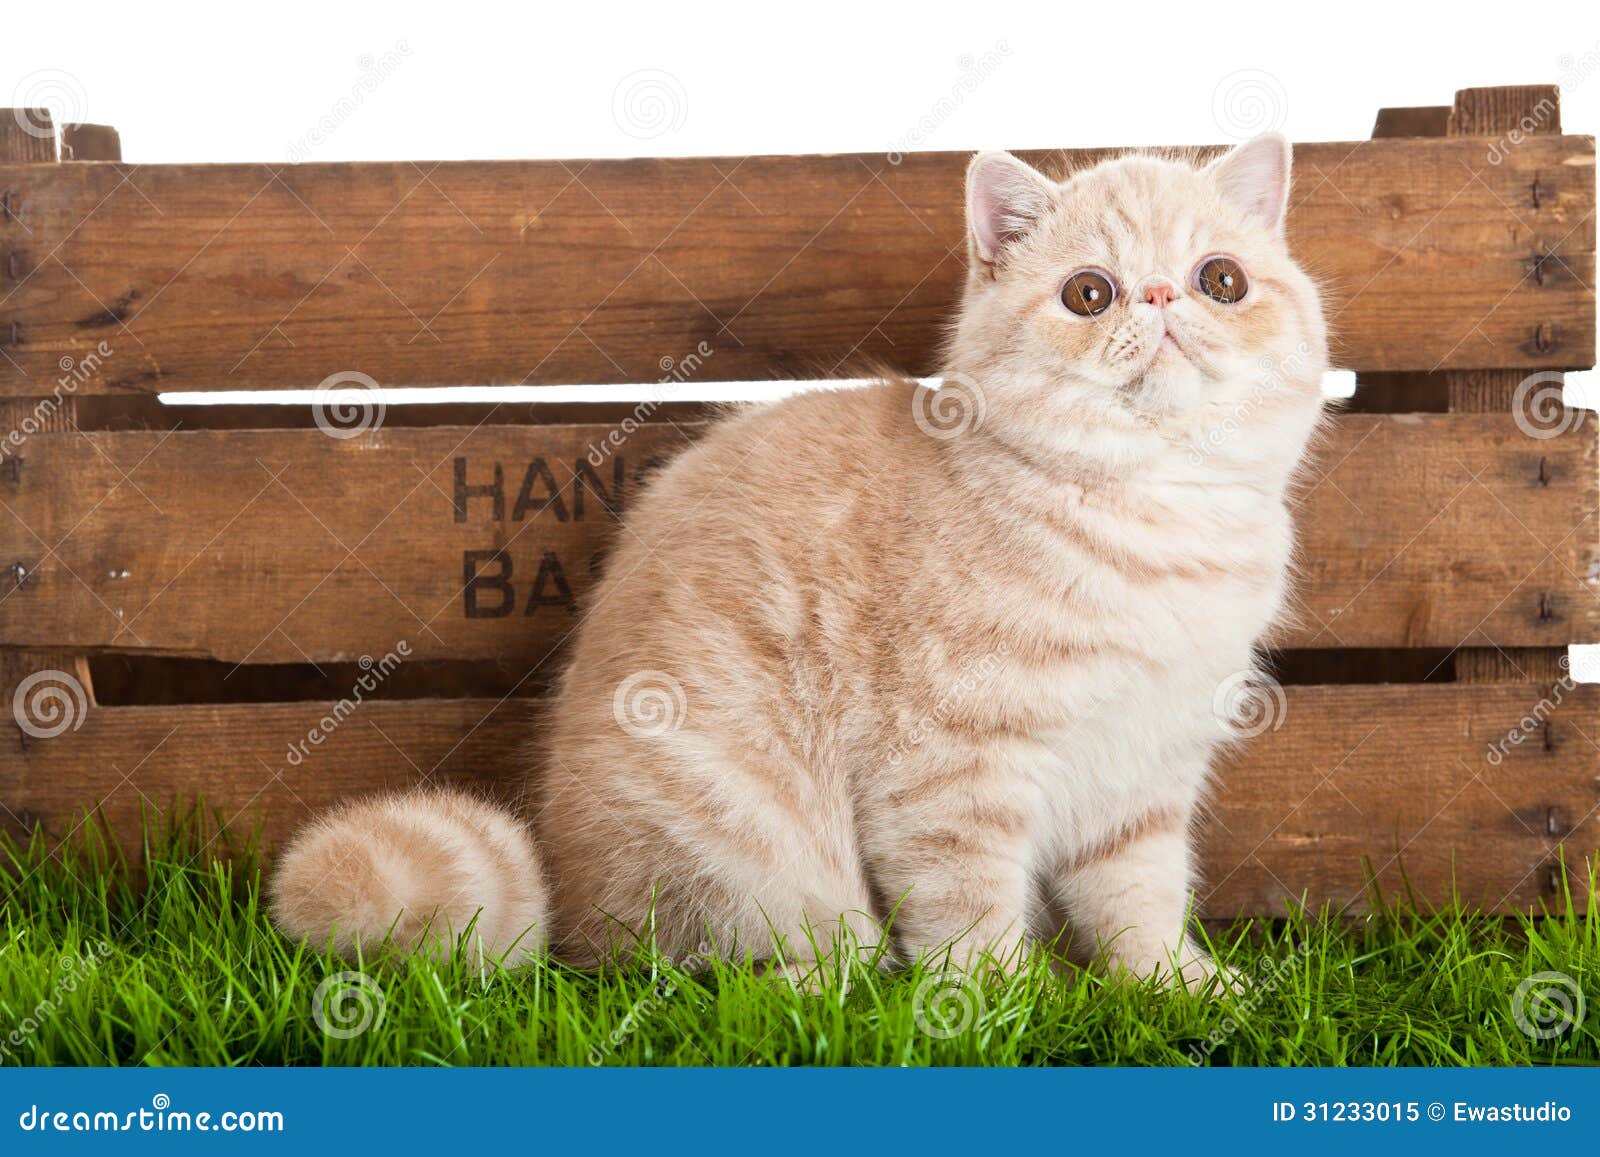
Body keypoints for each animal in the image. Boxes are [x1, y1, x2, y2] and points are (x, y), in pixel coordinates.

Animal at [272, 133, 1324, 985]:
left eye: (1221, 280)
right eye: (1089, 293)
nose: (1161, 296)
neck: (1161, 521)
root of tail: (569, 895)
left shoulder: (1147, 774)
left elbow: (1139, 897)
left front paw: (1177, 986)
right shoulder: (947, 774)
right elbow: (970, 909)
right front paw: (997, 1004)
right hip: (748, 845)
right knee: (723, 970)